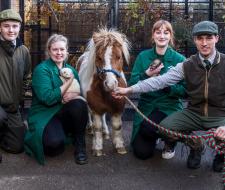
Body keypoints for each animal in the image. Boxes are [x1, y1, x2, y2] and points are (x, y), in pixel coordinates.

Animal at [78, 28, 130, 156]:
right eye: (99, 58)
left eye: (119, 56)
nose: (110, 84)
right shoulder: (95, 108)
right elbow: (97, 126)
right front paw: (97, 148)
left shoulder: (118, 109)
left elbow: (117, 126)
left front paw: (119, 146)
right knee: (88, 112)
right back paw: (90, 128)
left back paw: (105, 131)